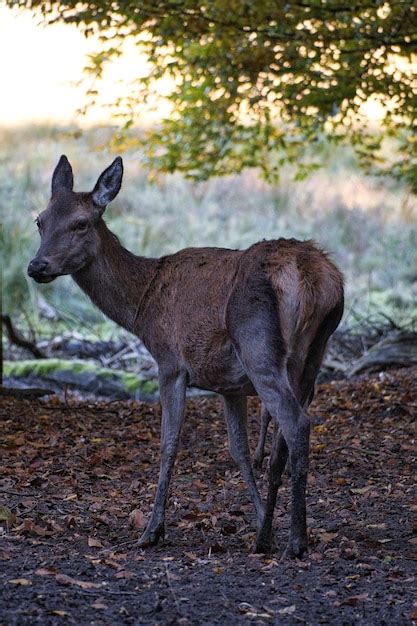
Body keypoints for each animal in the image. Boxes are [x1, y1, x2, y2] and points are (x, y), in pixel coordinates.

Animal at [27, 156, 342, 556]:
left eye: (81, 222)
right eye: (40, 220)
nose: (37, 266)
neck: (142, 307)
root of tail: (316, 280)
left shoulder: (170, 362)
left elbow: (168, 444)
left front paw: (152, 530)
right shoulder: (230, 386)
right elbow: (239, 451)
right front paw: (259, 521)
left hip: (259, 348)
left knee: (298, 424)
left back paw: (296, 542)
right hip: (310, 360)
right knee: (283, 444)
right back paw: (271, 535)